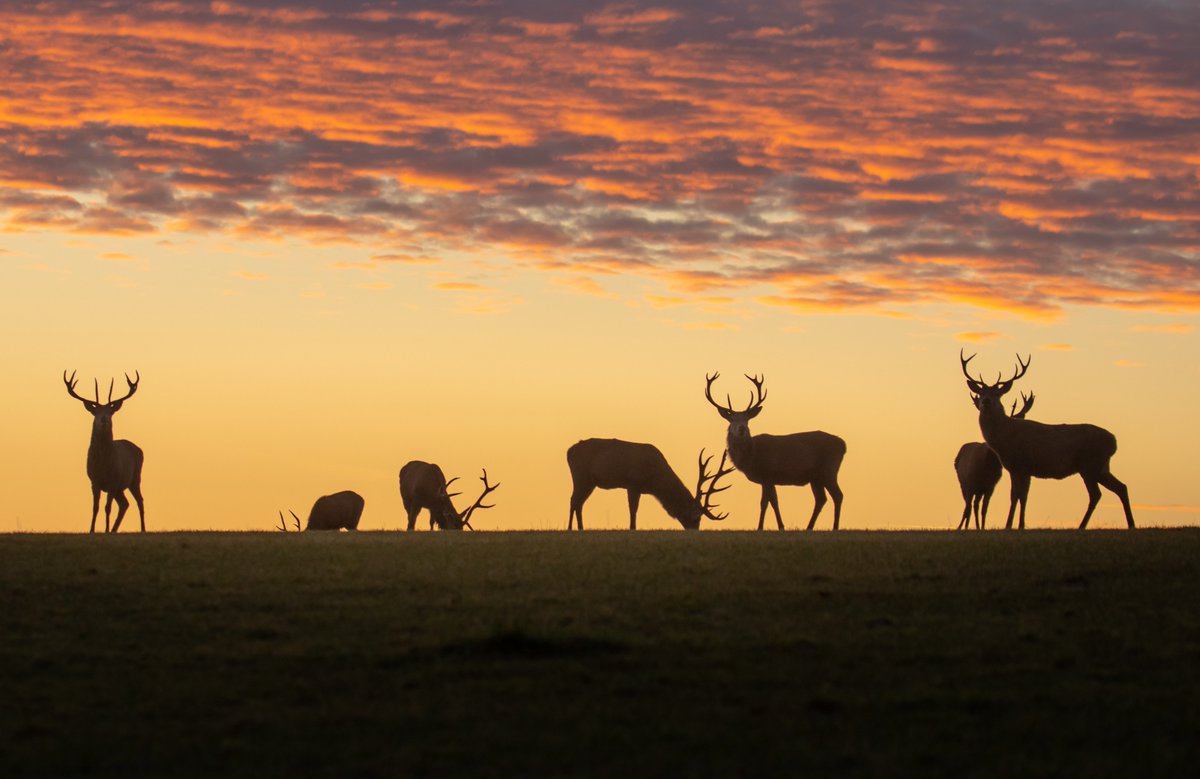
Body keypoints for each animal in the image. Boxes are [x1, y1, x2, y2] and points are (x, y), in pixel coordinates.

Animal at [63, 369, 146, 528]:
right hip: (120, 488)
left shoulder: (113, 481)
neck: (103, 464)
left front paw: (105, 529)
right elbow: (95, 507)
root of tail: (139, 449)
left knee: (140, 501)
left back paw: (142, 529)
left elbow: (107, 508)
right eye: (96, 412)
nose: (104, 419)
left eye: (110, 412)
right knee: (124, 504)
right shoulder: (94, 481)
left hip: (134, 478)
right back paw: (114, 529)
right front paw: (92, 530)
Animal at [566, 436, 734, 528]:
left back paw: (580, 528)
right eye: (696, 518)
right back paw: (570, 528)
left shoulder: (637, 487)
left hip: (589, 482)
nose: (694, 530)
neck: (655, 480)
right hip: (580, 475)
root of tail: (568, 451)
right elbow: (633, 510)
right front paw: (632, 528)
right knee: (573, 500)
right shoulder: (633, 482)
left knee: (578, 502)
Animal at [700, 374, 849, 530]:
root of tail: (843, 445)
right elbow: (774, 501)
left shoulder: (768, 473)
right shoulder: (769, 479)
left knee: (838, 495)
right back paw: (809, 527)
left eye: (747, 419)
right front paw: (780, 526)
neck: (752, 456)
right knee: (821, 499)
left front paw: (761, 527)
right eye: (732, 419)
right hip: (816, 477)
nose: (742, 428)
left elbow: (765, 502)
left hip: (829, 469)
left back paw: (835, 527)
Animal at [950, 396, 1036, 528]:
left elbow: (984, 509)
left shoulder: (990, 487)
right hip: (964, 484)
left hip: (979, 490)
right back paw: (964, 526)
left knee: (975, 505)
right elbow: (967, 509)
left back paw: (977, 526)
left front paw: (982, 527)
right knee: (968, 506)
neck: (987, 465)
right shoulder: (970, 484)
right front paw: (962, 528)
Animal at [960, 352, 1137, 528]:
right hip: (1101, 467)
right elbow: (1021, 496)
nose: (986, 401)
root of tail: (1113, 441)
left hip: (1090, 465)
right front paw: (1018, 525)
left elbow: (1017, 496)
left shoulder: (1021, 465)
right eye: (981, 393)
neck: (1004, 438)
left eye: (997, 393)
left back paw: (1082, 526)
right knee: (1121, 487)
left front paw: (1010, 525)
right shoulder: (1020, 469)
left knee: (1096, 494)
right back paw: (1130, 524)